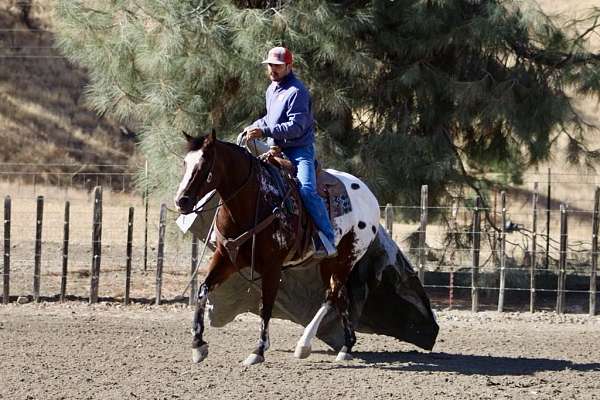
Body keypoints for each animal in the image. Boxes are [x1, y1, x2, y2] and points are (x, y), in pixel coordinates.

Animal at [175, 131, 380, 366]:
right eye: (185, 163)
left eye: (204, 164)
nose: (181, 201)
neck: (253, 200)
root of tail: (369, 194)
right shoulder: (226, 258)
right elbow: (203, 290)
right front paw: (198, 345)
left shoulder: (272, 267)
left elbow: (266, 305)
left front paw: (258, 351)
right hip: (328, 262)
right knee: (337, 296)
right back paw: (344, 346)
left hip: (347, 258)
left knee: (333, 294)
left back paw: (307, 344)